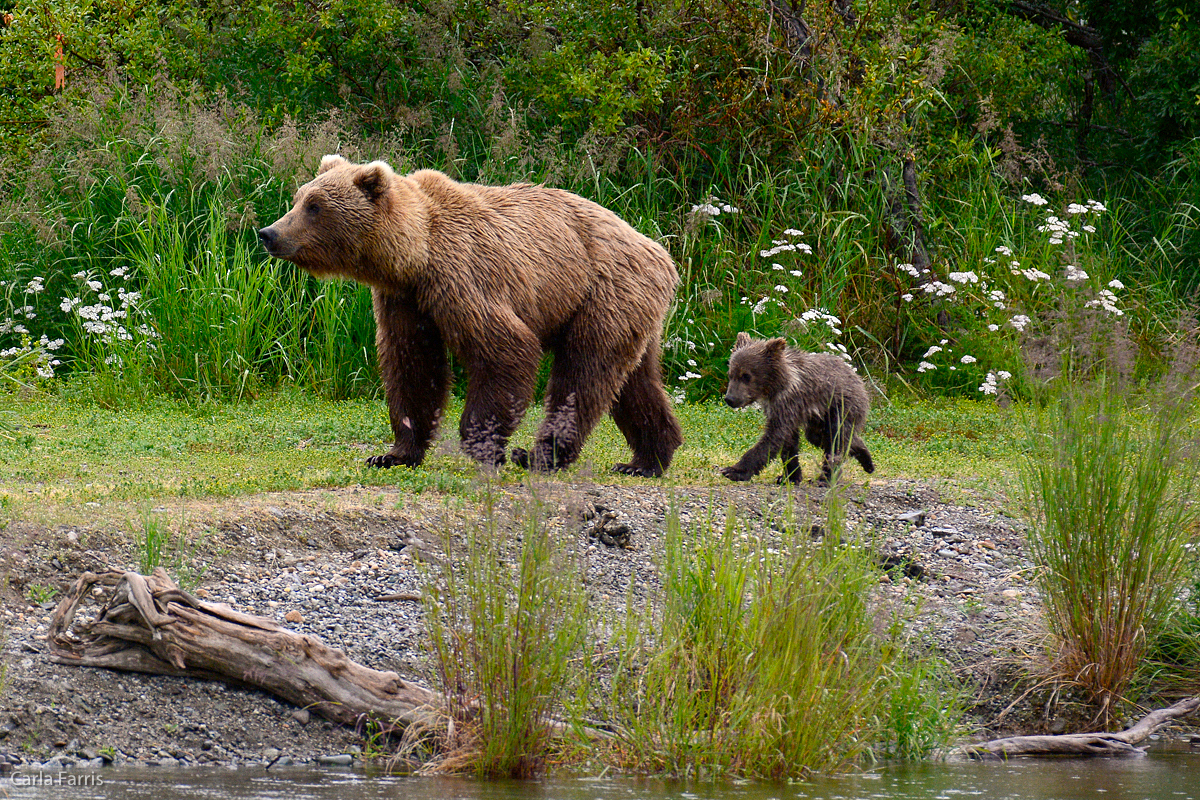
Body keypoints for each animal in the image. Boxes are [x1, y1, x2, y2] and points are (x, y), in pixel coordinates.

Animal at [256, 159, 681, 479]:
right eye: (298, 198)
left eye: (315, 206)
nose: (268, 232)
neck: (415, 254)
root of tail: (659, 251)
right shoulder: (405, 301)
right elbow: (412, 366)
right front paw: (393, 453)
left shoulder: (464, 277)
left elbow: (505, 350)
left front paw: (482, 446)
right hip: (629, 311)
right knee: (634, 382)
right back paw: (648, 458)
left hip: (601, 292)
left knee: (582, 374)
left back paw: (539, 455)